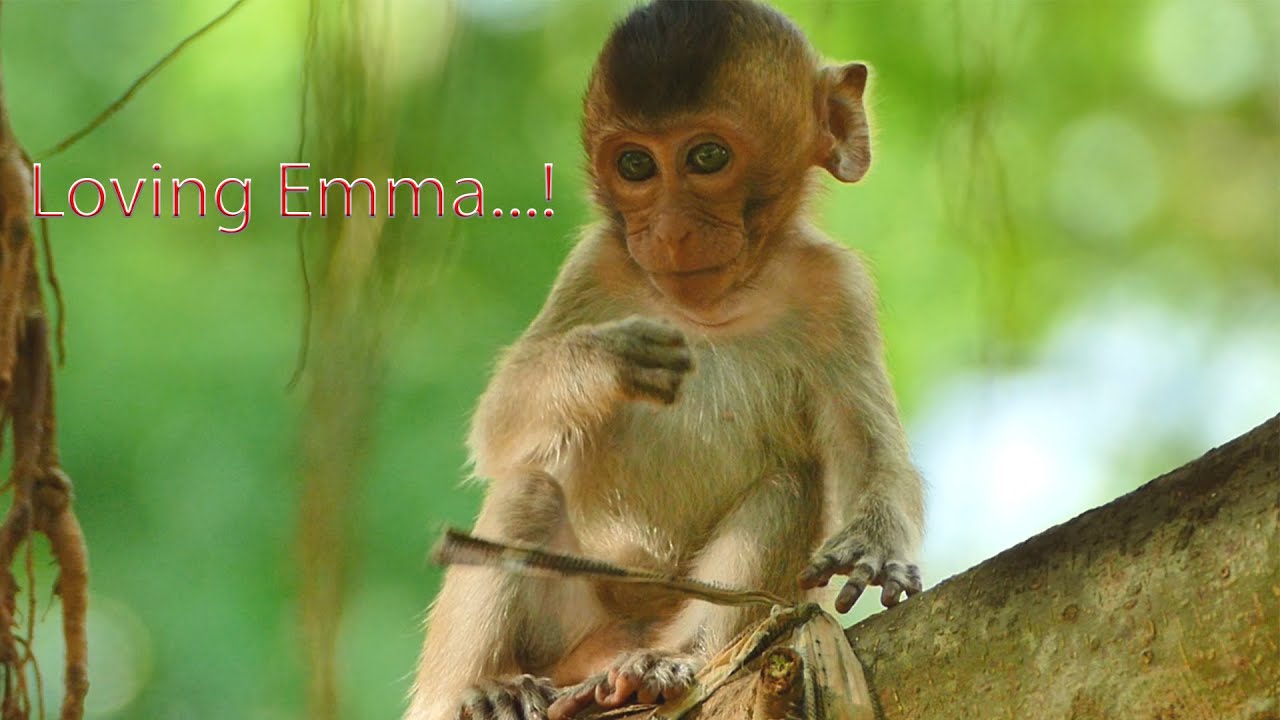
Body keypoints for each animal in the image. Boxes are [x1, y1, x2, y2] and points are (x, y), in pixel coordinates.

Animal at [406, 2, 924, 719]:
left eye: (707, 156)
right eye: (635, 165)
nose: (673, 230)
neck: (717, 304)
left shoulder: (836, 290)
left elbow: (865, 449)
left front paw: (874, 548)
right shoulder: (595, 265)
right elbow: (498, 429)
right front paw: (607, 360)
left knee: (790, 486)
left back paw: (660, 668)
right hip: (567, 628)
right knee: (528, 489)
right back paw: (478, 691)